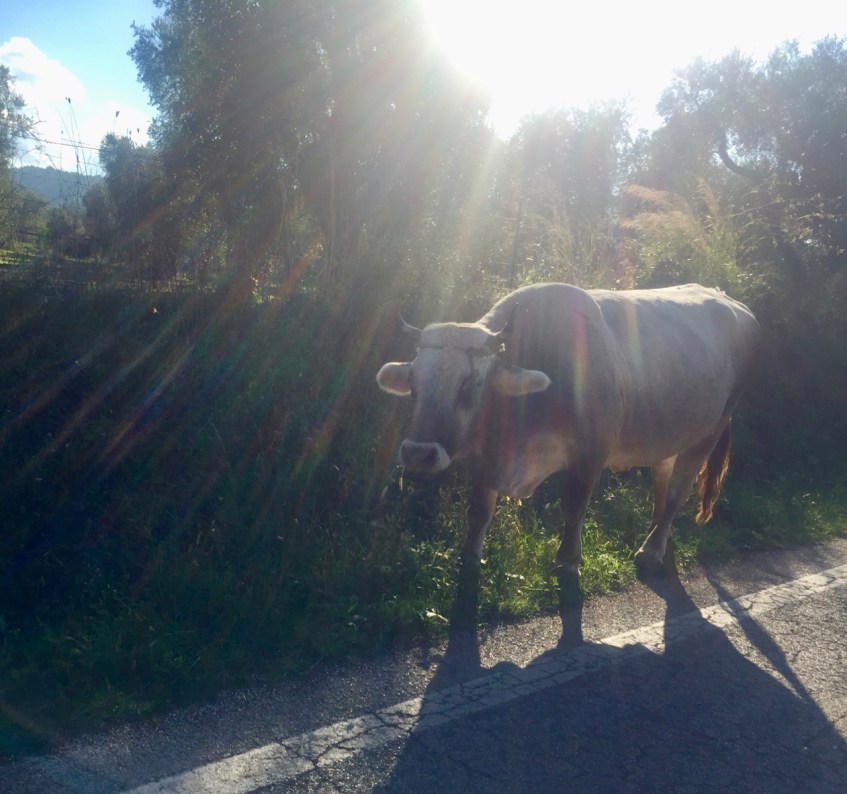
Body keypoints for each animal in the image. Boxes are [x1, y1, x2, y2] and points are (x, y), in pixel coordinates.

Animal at [377, 283, 760, 632]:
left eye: (468, 386)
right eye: (413, 382)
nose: (418, 453)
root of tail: (734, 303)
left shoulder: (590, 455)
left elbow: (573, 509)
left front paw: (567, 562)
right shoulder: (487, 460)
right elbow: (480, 512)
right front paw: (470, 559)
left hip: (711, 430)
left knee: (679, 492)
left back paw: (651, 550)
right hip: (670, 435)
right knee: (663, 483)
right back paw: (657, 539)